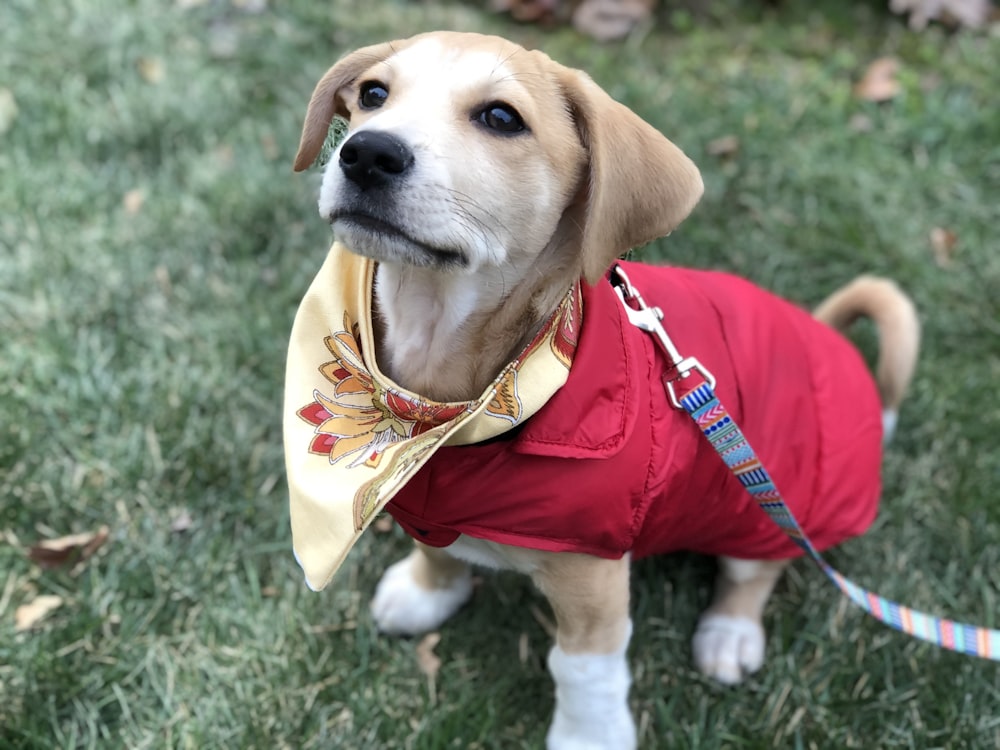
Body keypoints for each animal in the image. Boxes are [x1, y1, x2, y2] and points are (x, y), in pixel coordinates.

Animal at [284, 33, 920, 750]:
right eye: (373, 94)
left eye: (501, 117)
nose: (366, 153)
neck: (436, 408)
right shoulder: (424, 492)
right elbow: (434, 547)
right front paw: (427, 592)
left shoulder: (592, 578)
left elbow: (582, 670)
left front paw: (589, 736)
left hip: (764, 501)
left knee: (756, 570)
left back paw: (729, 632)